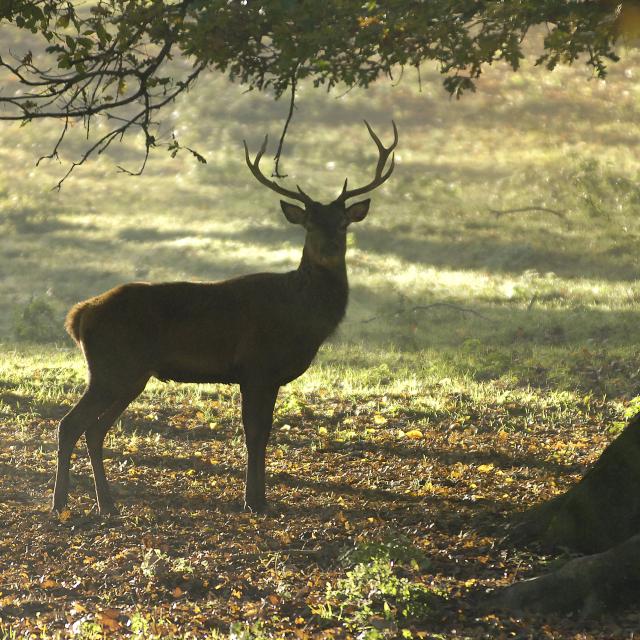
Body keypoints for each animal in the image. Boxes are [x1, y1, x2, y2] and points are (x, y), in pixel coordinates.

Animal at [52, 121, 398, 515]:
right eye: (309, 224)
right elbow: (254, 433)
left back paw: (106, 504)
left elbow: (264, 432)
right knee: (70, 424)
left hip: (131, 375)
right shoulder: (256, 367)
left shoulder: (269, 377)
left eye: (343, 223)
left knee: (94, 429)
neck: (302, 317)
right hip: (111, 368)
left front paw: (259, 498)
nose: (328, 248)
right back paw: (61, 503)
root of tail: (79, 315)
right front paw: (253, 500)